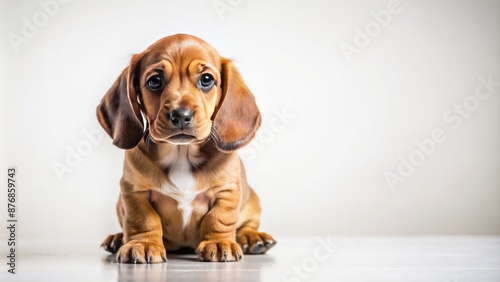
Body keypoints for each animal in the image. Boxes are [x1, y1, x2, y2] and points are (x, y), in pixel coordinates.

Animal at [96, 34, 278, 264]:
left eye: (207, 79)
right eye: (154, 81)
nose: (181, 115)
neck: (181, 153)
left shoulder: (227, 191)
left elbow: (218, 218)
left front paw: (219, 243)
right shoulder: (134, 192)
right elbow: (143, 220)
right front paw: (143, 244)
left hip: (252, 201)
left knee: (247, 225)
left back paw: (254, 238)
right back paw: (117, 239)